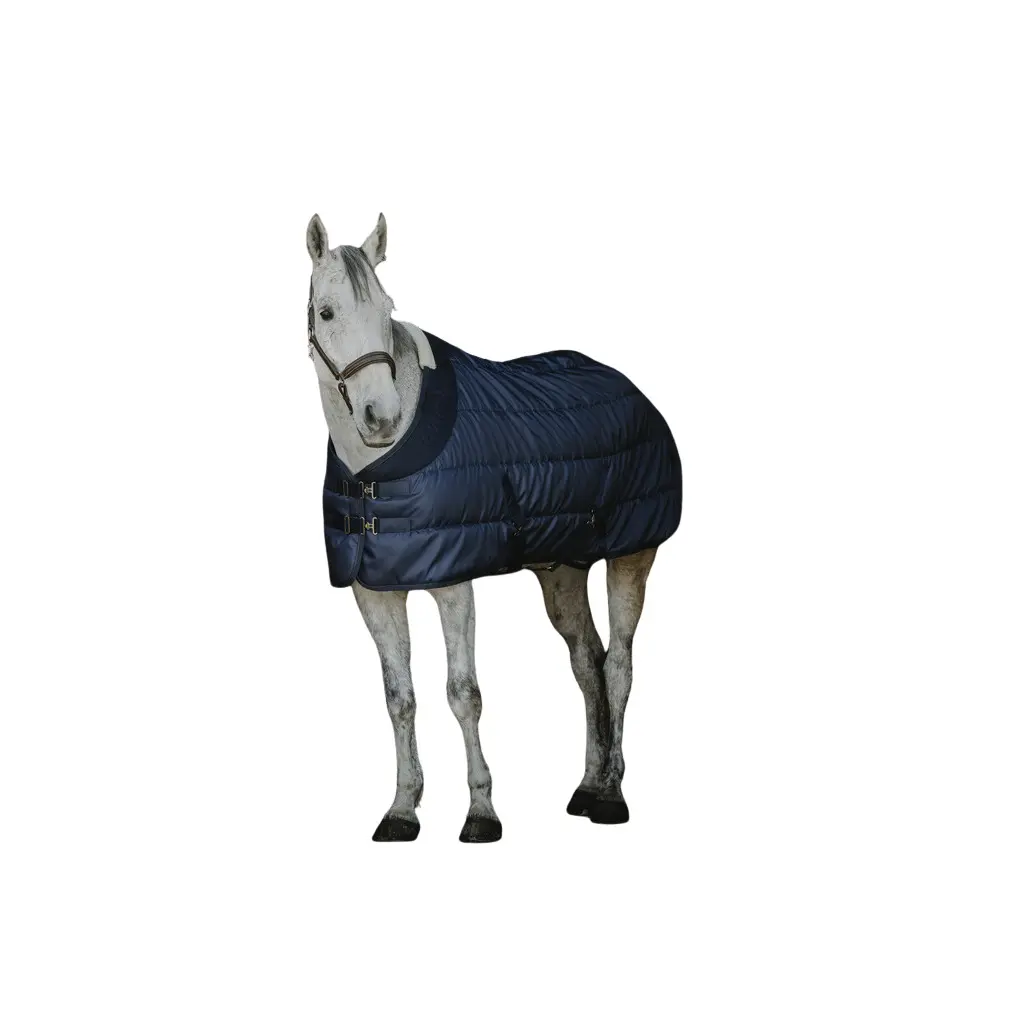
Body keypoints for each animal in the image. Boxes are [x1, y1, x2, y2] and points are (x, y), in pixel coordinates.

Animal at [304, 213, 682, 842]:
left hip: (634, 554)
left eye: (386, 307)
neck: (379, 472)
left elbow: (463, 693)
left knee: (619, 667)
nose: (381, 418)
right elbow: (399, 697)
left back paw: (611, 796)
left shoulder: (453, 583)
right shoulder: (373, 591)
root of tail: (634, 389)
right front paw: (402, 809)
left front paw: (481, 812)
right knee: (588, 665)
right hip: (561, 571)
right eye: (327, 312)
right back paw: (587, 786)